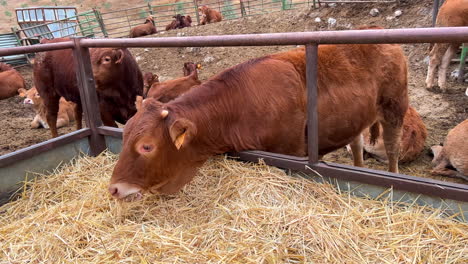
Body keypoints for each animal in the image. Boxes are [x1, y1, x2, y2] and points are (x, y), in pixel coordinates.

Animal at [109, 43, 406, 200]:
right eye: (124, 136)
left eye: (147, 146)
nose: (113, 188)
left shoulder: (292, 150)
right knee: (356, 143)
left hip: (395, 108)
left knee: (393, 148)